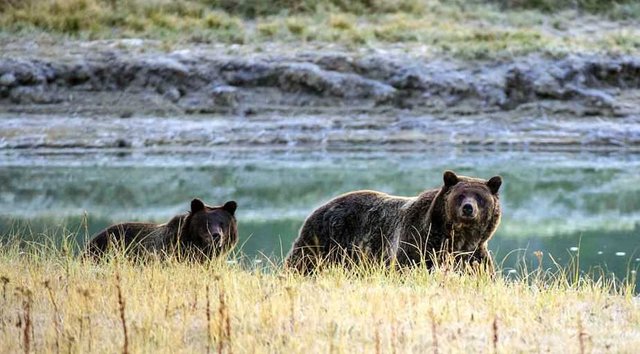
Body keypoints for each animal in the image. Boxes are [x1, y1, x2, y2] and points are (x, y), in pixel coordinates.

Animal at [284, 171, 500, 274]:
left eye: (480, 197)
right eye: (460, 195)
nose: (468, 208)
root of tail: (320, 207)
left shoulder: (473, 255)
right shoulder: (418, 243)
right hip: (324, 240)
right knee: (301, 263)